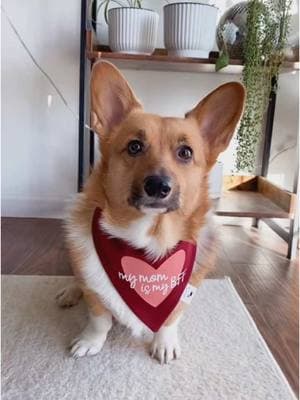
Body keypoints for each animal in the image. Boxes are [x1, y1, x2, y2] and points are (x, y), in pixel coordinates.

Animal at [56, 61, 246, 364]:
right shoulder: (95, 293)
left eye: (185, 152)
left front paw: (164, 344)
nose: (158, 186)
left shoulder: (182, 293)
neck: (149, 240)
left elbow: (169, 320)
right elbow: (99, 317)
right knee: (78, 280)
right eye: (135, 146)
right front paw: (90, 341)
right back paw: (69, 292)